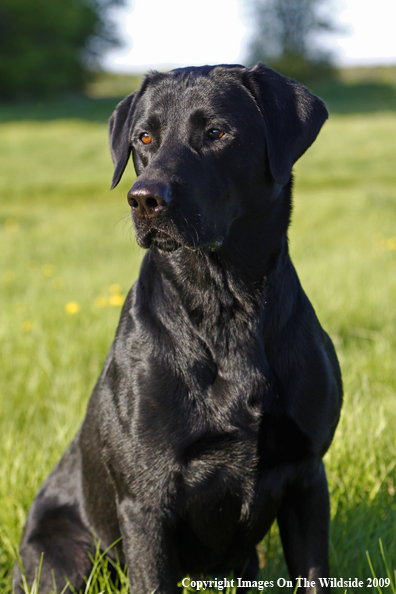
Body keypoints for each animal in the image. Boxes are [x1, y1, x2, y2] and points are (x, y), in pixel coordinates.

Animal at [15, 62, 342, 588]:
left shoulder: (307, 474)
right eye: (144, 136)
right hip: (65, 559)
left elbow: (313, 574)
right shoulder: (146, 503)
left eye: (216, 133)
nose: (144, 199)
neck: (227, 306)